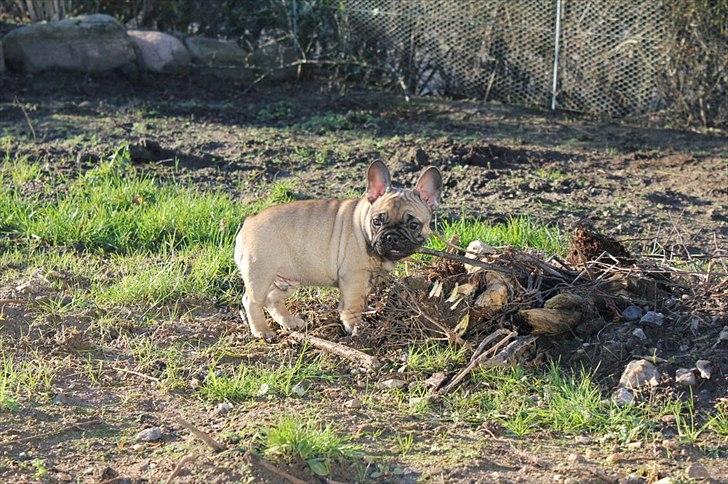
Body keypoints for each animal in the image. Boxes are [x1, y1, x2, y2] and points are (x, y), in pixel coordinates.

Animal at [236, 161, 440, 338]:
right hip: (261, 275)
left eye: (413, 225)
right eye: (377, 221)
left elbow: (361, 300)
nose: (391, 236)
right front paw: (356, 327)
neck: (363, 225)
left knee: (273, 299)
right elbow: (353, 305)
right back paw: (262, 331)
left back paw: (290, 322)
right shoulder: (354, 277)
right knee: (252, 301)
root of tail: (248, 222)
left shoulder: (367, 279)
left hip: (288, 279)